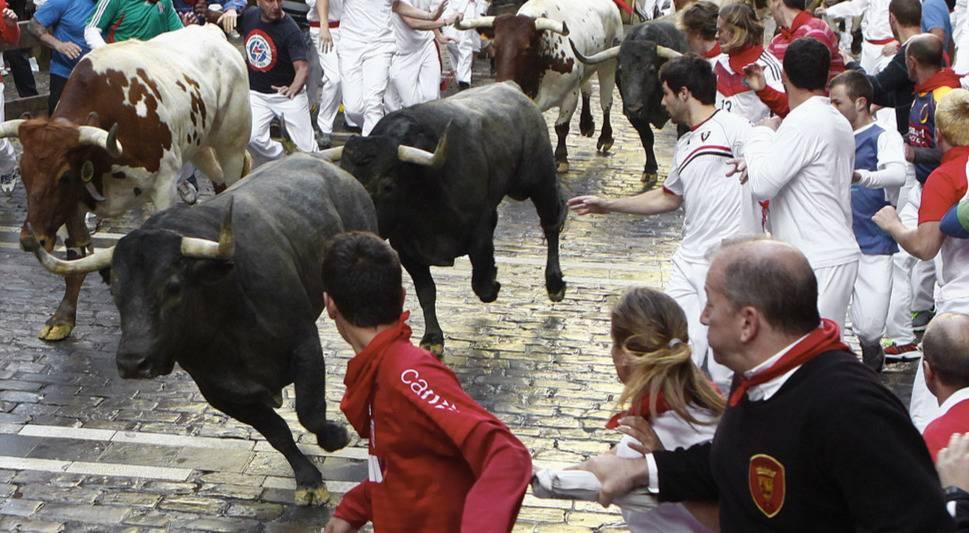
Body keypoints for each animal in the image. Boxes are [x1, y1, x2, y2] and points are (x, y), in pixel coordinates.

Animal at [1, 22, 251, 340]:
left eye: (64, 175)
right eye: (24, 171)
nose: (29, 239)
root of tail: (211, 31)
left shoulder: (164, 185)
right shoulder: (75, 204)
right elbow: (75, 257)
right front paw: (62, 318)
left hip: (231, 143)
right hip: (200, 146)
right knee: (217, 180)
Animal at [26, 153, 374, 502]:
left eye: (174, 286)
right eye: (115, 292)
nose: (132, 363)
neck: (228, 319)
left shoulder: (306, 345)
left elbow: (309, 411)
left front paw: (337, 436)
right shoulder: (219, 390)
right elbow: (277, 432)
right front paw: (308, 479)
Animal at [322, 83, 564, 356]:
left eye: (387, 185)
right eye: (345, 178)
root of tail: (515, 90)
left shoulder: (479, 232)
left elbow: (481, 283)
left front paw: (493, 283)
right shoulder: (406, 249)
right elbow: (426, 292)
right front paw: (433, 337)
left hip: (537, 181)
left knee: (551, 222)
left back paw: (555, 284)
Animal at [460, 0, 624, 172]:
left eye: (526, 48)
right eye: (494, 46)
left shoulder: (570, 95)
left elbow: (561, 127)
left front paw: (561, 158)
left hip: (608, 63)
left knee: (606, 102)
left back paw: (605, 137)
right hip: (587, 65)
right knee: (587, 89)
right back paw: (586, 124)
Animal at [572, 20, 684, 187]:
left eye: (652, 70)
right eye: (620, 70)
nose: (633, 108)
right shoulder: (635, 117)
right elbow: (647, 138)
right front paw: (650, 170)